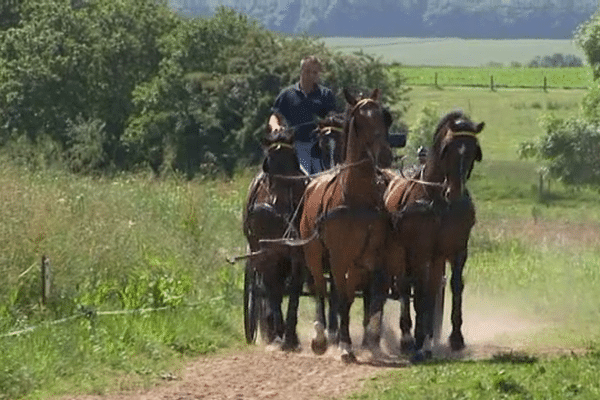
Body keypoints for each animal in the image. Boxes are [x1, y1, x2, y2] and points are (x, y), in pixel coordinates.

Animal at [243, 129, 310, 350]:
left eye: (294, 162)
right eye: (268, 164)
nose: (280, 207)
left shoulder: (298, 255)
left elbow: (295, 291)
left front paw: (290, 335)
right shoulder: (267, 254)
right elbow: (273, 290)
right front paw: (278, 331)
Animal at [300, 88, 394, 362]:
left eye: (384, 117)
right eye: (359, 121)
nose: (385, 155)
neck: (355, 197)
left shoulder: (367, 257)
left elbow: (357, 297)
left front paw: (360, 341)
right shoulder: (340, 256)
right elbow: (341, 296)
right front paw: (343, 344)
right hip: (313, 252)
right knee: (321, 290)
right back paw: (320, 337)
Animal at [384, 110, 482, 360]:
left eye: (473, 150)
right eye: (447, 148)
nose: (455, 192)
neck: (437, 200)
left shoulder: (457, 250)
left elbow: (453, 286)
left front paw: (454, 337)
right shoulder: (420, 250)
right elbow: (419, 291)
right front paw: (418, 338)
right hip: (400, 253)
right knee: (404, 286)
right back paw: (407, 337)